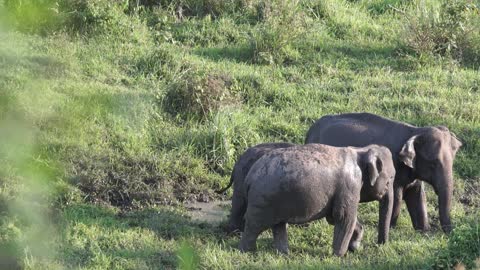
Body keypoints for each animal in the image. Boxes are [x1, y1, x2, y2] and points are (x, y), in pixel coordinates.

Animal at [240, 142, 394, 256]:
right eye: (390, 179)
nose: (379, 245)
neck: (361, 150)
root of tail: (249, 177)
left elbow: (335, 217)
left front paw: (355, 246)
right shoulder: (349, 186)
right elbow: (343, 217)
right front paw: (339, 256)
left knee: (278, 225)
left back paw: (284, 254)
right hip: (262, 201)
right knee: (253, 226)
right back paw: (248, 251)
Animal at [306, 113, 464, 233]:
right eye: (432, 164)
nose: (449, 234)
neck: (414, 131)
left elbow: (417, 196)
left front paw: (423, 231)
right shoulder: (394, 167)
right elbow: (397, 196)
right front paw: (393, 228)